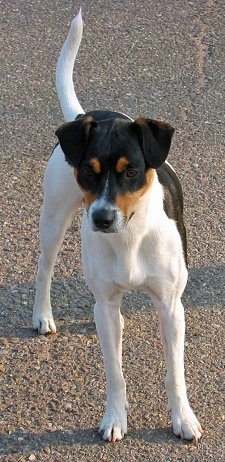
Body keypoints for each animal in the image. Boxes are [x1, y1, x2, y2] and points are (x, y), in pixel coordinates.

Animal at [32, 10, 203, 442]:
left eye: (132, 171)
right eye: (87, 172)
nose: (101, 218)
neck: (129, 236)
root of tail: (82, 115)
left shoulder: (170, 307)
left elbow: (175, 374)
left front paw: (183, 418)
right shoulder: (107, 306)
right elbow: (114, 373)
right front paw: (114, 418)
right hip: (53, 220)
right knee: (44, 269)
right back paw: (43, 315)